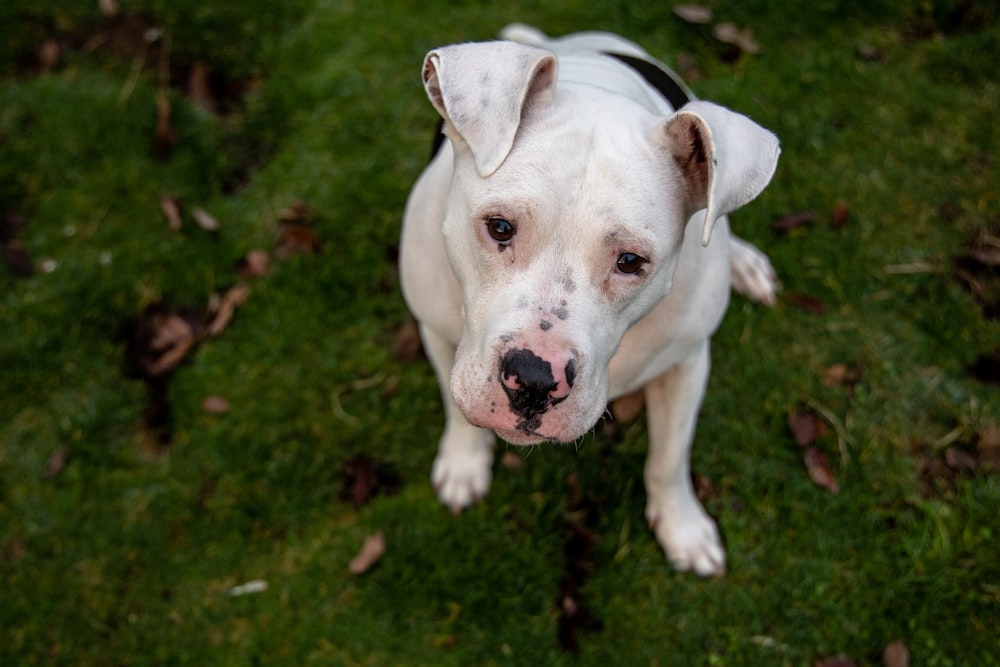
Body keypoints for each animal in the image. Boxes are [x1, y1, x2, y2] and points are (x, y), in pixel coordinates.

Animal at [398, 24, 780, 580]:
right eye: (500, 227)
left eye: (630, 261)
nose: (534, 381)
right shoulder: (437, 331)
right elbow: (455, 407)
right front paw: (464, 463)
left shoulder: (686, 363)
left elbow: (669, 458)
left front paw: (682, 527)